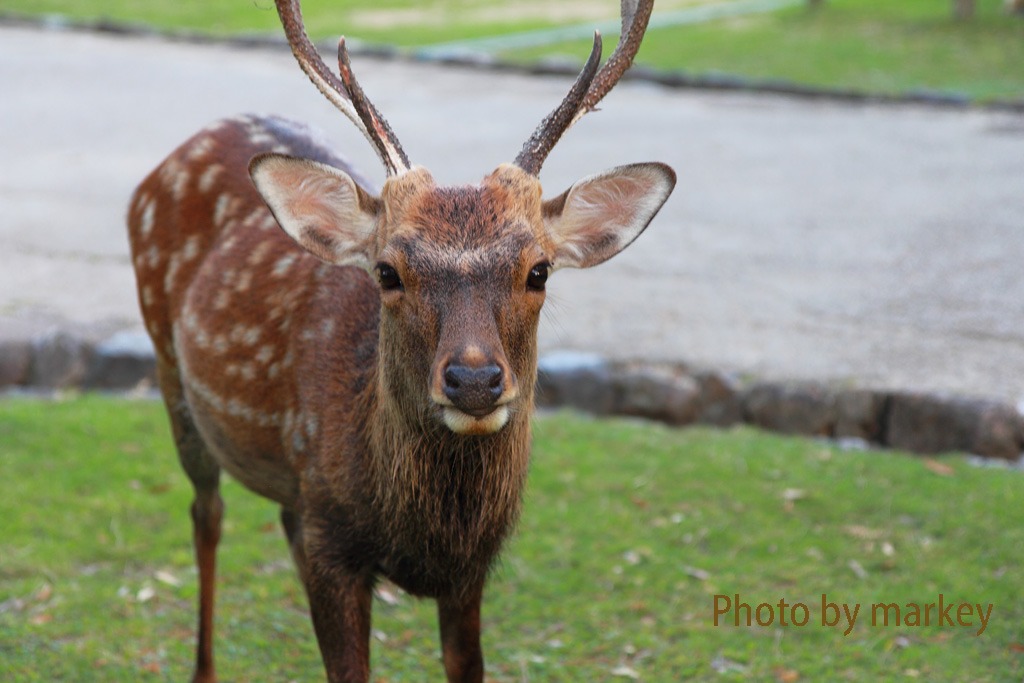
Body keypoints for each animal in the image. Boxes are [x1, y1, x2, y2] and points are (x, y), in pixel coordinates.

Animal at [125, 1, 671, 683]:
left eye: (539, 271)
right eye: (387, 272)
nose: (473, 380)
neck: (424, 531)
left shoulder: (470, 572)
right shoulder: (332, 546)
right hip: (169, 368)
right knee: (207, 513)